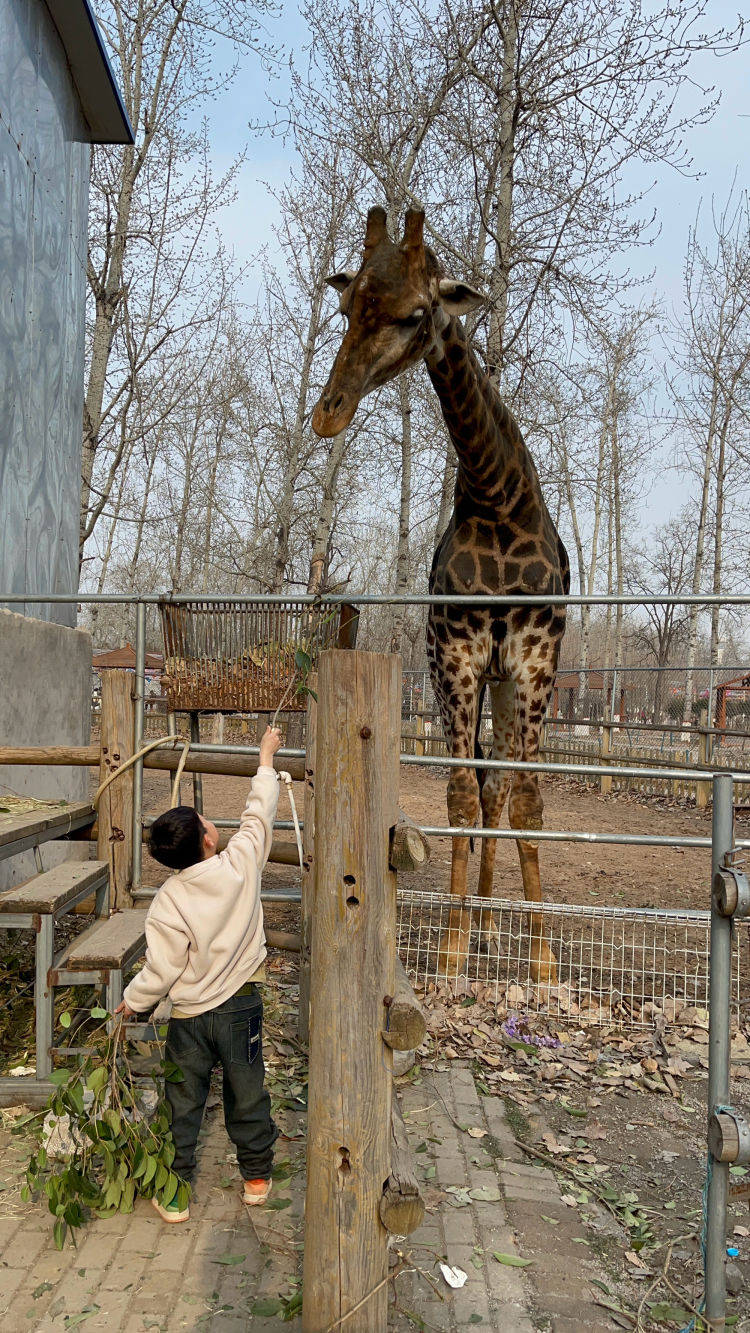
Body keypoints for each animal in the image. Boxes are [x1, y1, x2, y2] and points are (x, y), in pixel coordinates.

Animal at [311, 205, 570, 981]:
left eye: (416, 313)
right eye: (346, 306)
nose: (328, 414)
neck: (498, 497)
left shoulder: (532, 658)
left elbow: (527, 801)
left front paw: (543, 962)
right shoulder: (454, 655)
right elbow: (458, 794)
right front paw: (453, 951)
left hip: (510, 685)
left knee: (500, 786)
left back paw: (493, 927)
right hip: (469, 674)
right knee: (481, 785)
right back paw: (478, 928)